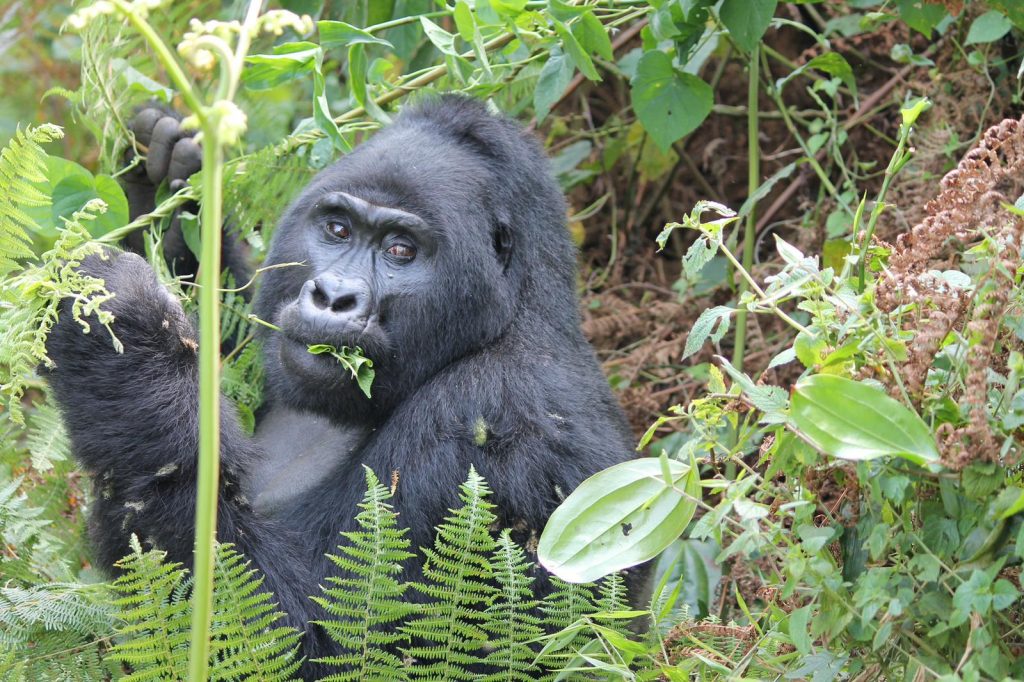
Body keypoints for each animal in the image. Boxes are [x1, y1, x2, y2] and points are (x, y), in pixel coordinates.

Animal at [48, 93, 643, 671]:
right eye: (338, 229)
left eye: (401, 249)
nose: (333, 295)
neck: (512, 313)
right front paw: (171, 184)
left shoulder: (508, 419)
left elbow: (314, 643)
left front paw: (128, 330)